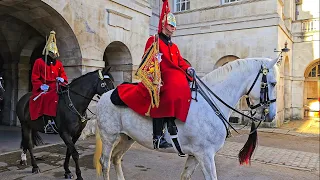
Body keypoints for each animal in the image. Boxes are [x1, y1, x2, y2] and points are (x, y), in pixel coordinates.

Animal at [94, 57, 278, 179]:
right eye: (273, 83)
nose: (271, 115)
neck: (210, 105)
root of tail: (105, 96)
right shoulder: (205, 155)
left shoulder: (195, 155)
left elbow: (185, 176)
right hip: (109, 137)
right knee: (105, 162)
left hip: (127, 137)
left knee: (116, 158)